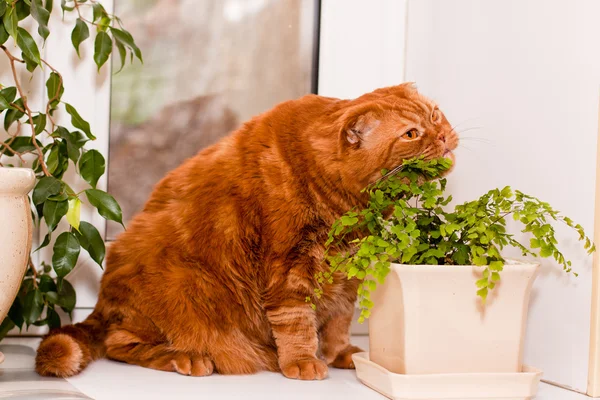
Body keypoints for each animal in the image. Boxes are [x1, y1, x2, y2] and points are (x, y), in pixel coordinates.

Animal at [36, 83, 460, 378]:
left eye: (436, 115)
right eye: (411, 134)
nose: (442, 135)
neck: (346, 207)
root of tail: (102, 302)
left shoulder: (344, 278)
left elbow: (338, 323)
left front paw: (340, 354)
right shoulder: (288, 268)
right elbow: (296, 322)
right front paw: (303, 361)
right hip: (182, 282)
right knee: (120, 343)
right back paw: (187, 357)